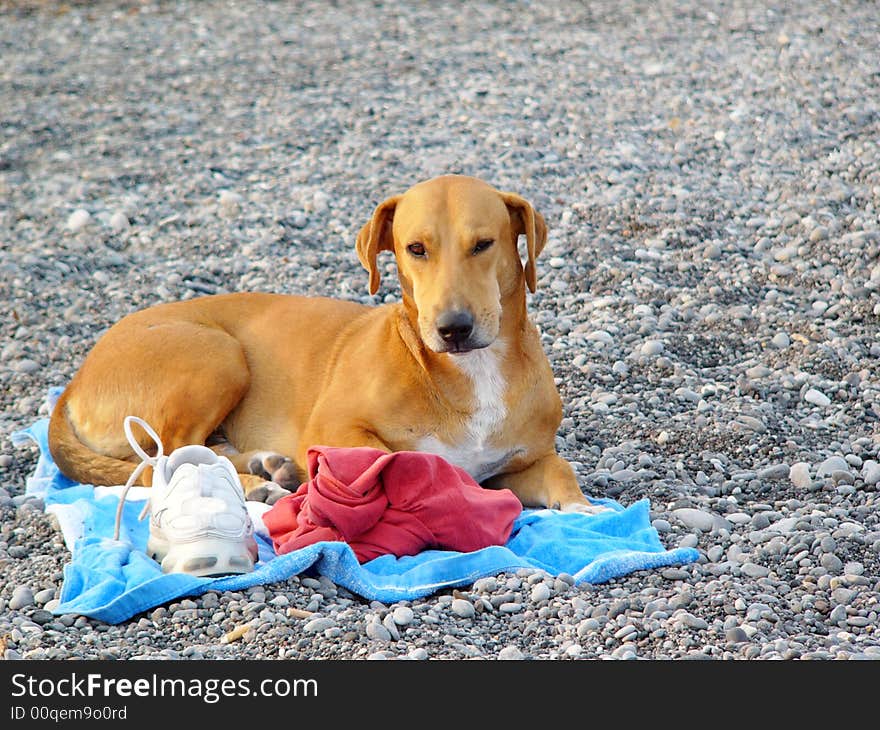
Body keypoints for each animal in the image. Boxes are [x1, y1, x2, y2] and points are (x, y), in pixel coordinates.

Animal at [48, 173, 604, 510]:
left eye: (484, 244)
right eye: (415, 249)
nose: (454, 328)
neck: (472, 373)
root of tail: (74, 382)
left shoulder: (524, 461)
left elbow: (561, 472)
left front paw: (584, 513)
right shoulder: (335, 426)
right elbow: (403, 457)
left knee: (197, 453)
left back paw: (269, 467)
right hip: (217, 356)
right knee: (163, 464)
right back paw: (262, 484)